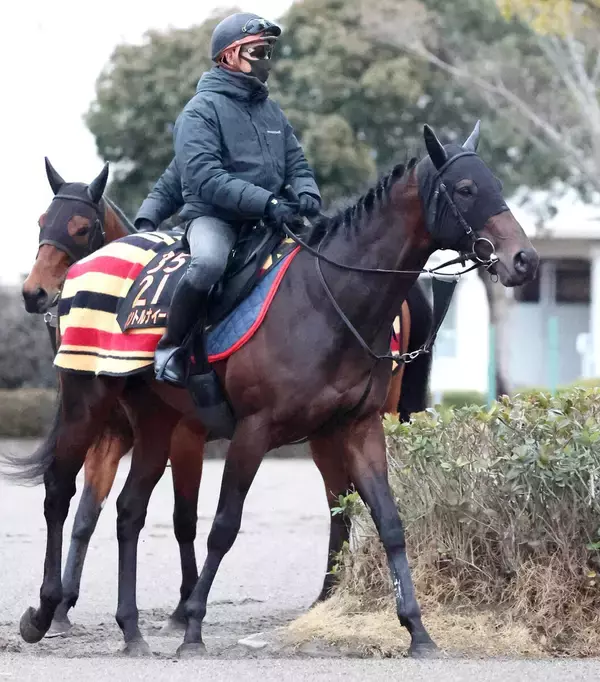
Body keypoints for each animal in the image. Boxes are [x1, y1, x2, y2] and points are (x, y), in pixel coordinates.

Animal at [9, 122, 538, 657]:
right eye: (466, 188)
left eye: (493, 183)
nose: (524, 258)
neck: (324, 299)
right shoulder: (249, 431)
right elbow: (218, 526)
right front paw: (192, 625)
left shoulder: (358, 427)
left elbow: (388, 519)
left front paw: (417, 629)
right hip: (88, 405)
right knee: (59, 493)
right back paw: (45, 611)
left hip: (159, 422)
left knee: (129, 511)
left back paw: (132, 629)